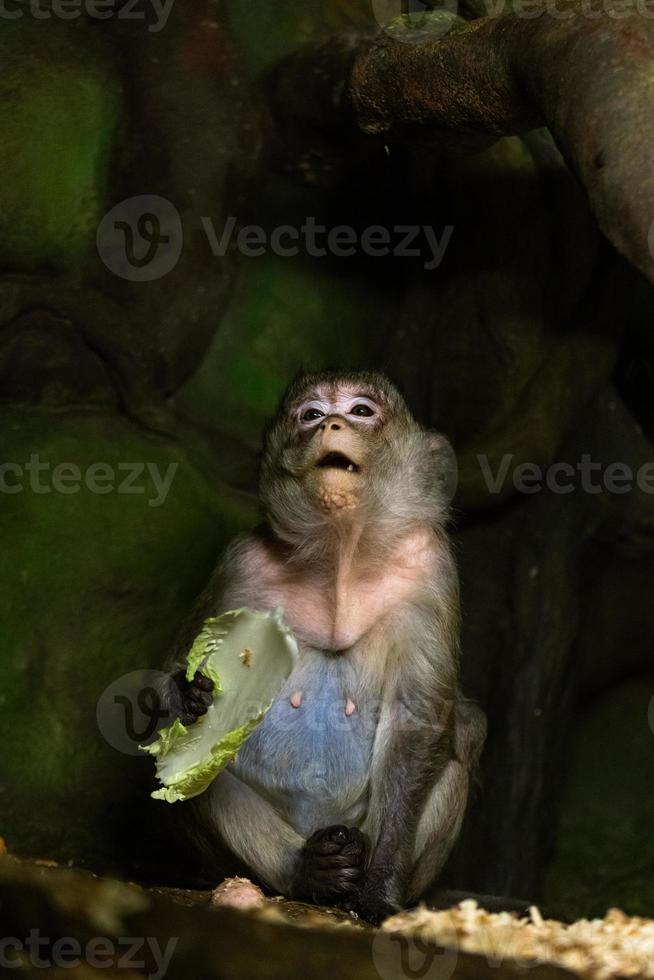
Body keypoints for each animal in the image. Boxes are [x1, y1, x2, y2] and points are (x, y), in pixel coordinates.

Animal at [161, 372, 484, 924]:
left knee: (463, 732)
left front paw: (380, 887)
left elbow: (418, 718)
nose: (331, 423)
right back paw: (310, 871)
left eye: (361, 411)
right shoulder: (239, 564)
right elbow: (177, 674)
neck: (339, 554)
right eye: (310, 414)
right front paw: (185, 696)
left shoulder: (432, 569)